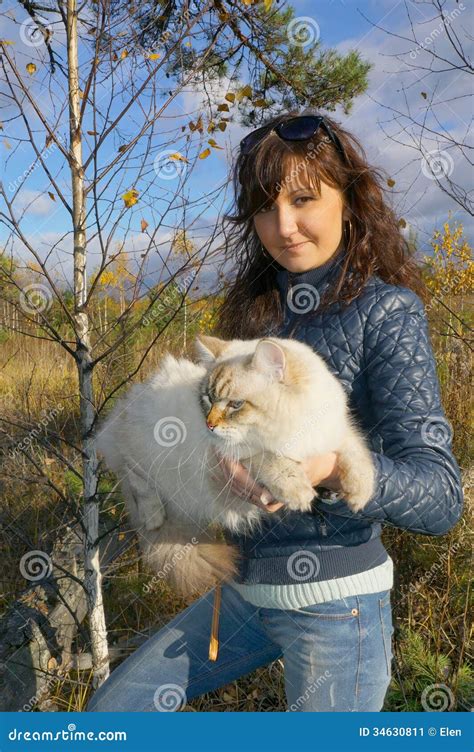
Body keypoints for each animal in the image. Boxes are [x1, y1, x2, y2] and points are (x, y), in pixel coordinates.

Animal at [96, 338, 376, 596]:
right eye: (208, 399)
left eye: (235, 404)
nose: (209, 425)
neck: (299, 423)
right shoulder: (239, 454)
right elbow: (272, 461)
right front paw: (298, 492)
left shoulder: (334, 434)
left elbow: (358, 457)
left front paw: (359, 494)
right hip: (140, 450)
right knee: (135, 478)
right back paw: (153, 517)